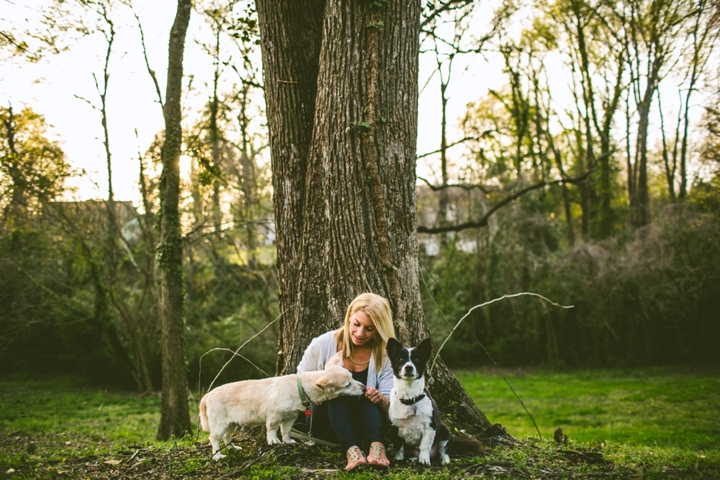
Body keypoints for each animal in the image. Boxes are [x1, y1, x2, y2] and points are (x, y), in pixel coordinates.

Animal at [198, 350, 362, 460]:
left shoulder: (291, 417)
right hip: (219, 423)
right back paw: (218, 456)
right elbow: (272, 429)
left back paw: (233, 448)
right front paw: (273, 441)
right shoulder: (274, 415)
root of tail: (208, 395)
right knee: (214, 438)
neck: (299, 388)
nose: (364, 387)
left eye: (352, 377)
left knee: (226, 437)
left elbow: (286, 431)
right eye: (347, 385)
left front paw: (288, 441)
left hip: (231, 423)